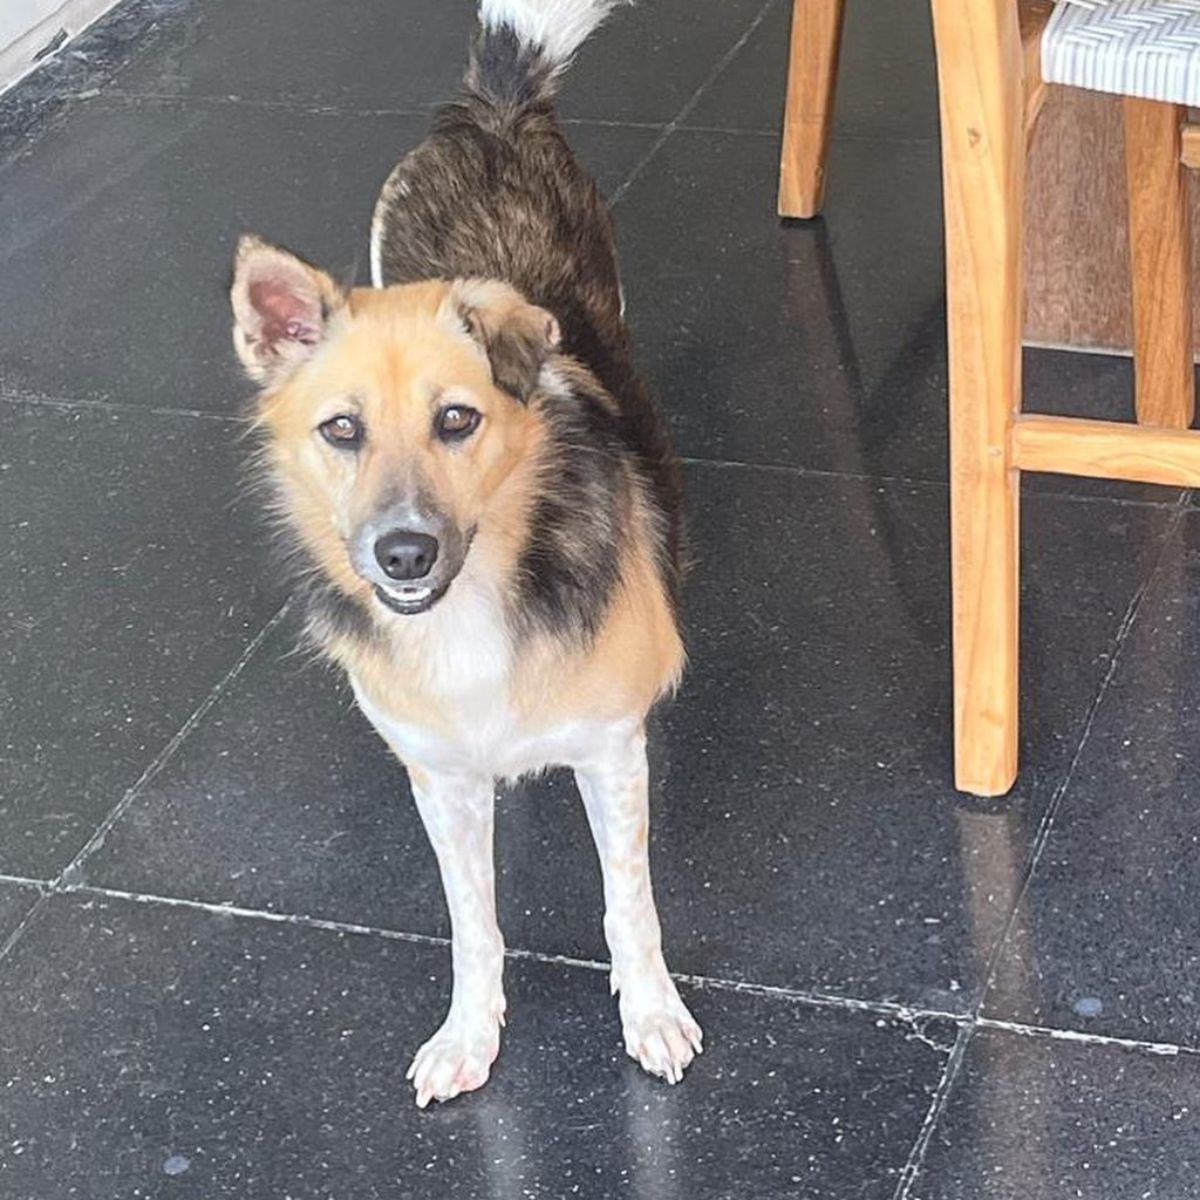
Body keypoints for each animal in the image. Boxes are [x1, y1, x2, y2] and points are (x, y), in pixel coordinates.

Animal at [228, 0, 700, 1104]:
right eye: (341, 430)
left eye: (457, 421)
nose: (400, 554)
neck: (478, 604)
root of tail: (494, 107)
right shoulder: (439, 780)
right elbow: (471, 920)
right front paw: (469, 1031)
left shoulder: (611, 753)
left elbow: (630, 904)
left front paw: (651, 1012)